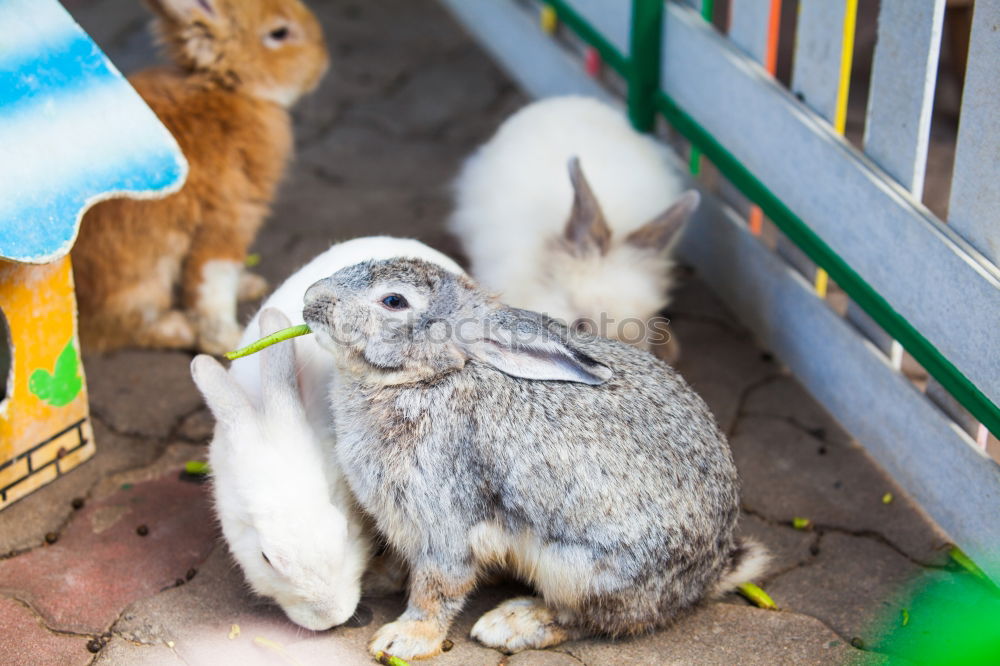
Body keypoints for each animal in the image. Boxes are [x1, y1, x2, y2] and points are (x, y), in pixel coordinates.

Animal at [75, 0, 332, 352]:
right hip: (144, 278)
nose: (324, 59)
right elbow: (212, 283)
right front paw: (229, 342)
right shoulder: (227, 218)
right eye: (279, 33)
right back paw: (178, 329)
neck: (230, 88)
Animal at [302, 252, 764, 656]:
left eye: (394, 301)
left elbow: (438, 587)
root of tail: (709, 576)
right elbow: (404, 565)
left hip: (585, 573)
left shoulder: (445, 524)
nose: (311, 297)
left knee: (592, 620)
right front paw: (375, 578)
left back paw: (512, 624)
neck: (434, 376)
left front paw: (403, 640)